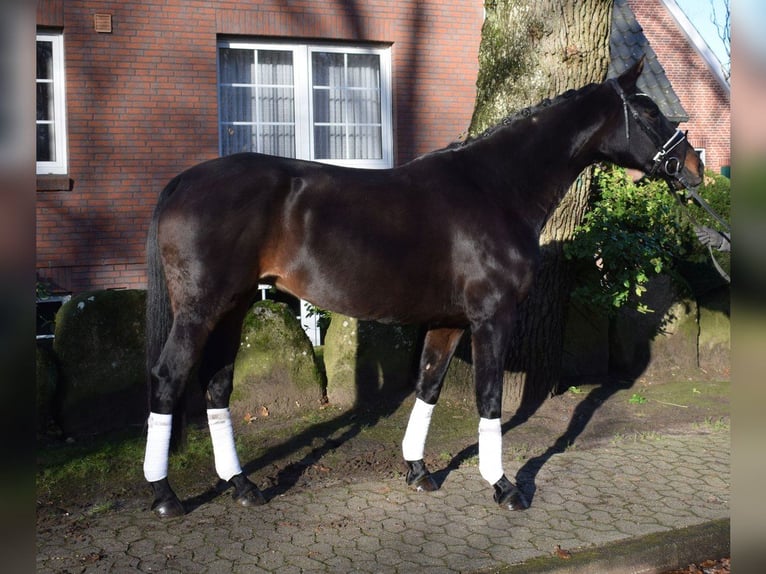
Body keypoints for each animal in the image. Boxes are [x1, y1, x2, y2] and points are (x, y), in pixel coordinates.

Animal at [142, 58, 704, 516]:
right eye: (650, 114)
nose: (695, 167)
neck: (496, 189)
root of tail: (182, 182)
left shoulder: (449, 322)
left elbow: (428, 387)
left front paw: (418, 471)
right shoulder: (491, 318)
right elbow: (489, 397)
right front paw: (504, 486)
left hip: (233, 307)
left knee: (217, 385)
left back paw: (242, 485)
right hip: (200, 310)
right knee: (169, 379)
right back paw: (165, 496)